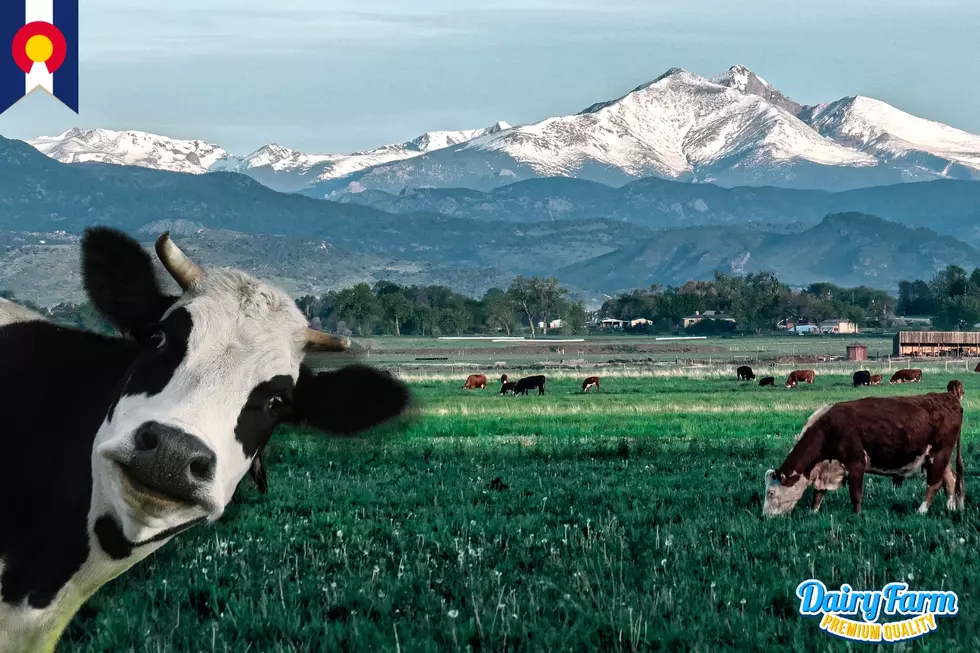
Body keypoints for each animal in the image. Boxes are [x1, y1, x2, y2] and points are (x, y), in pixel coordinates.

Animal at [762, 392, 965, 517]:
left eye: (771, 493)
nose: (764, 516)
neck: (828, 429)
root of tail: (948, 398)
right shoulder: (826, 469)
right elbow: (818, 494)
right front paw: (813, 512)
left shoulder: (856, 463)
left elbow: (855, 494)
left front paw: (857, 515)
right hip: (939, 458)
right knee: (950, 480)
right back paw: (951, 507)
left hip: (939, 454)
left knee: (934, 484)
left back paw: (921, 511)